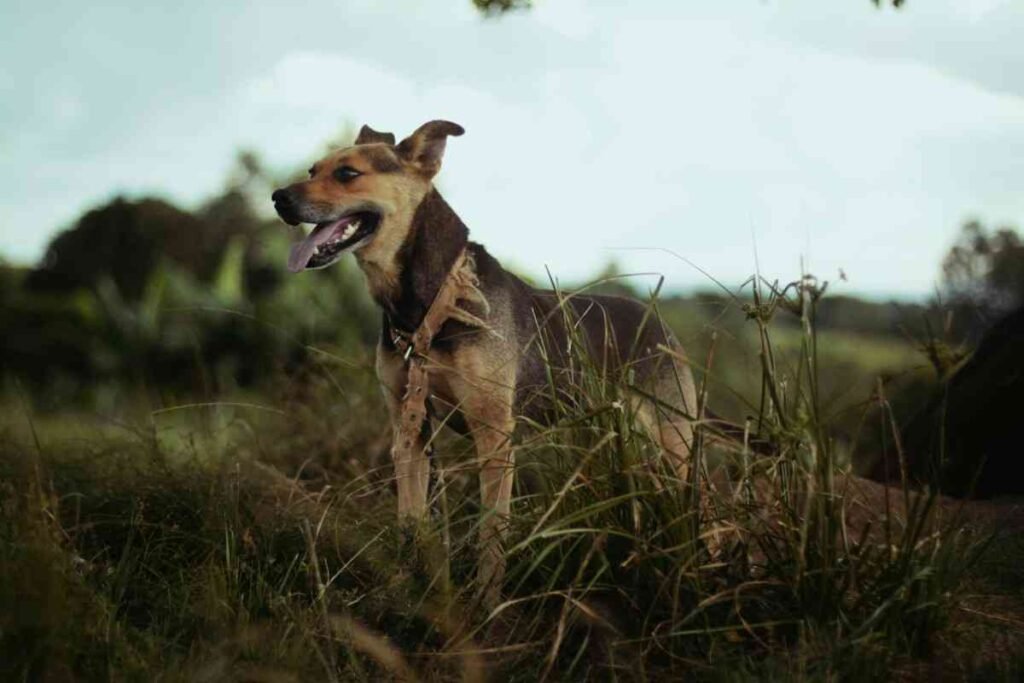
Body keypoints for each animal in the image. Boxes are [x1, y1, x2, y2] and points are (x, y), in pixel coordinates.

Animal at [272, 121, 700, 602]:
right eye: (313, 169)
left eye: (347, 173)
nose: (278, 198)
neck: (433, 302)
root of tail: (660, 325)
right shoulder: (409, 428)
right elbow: (410, 518)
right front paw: (408, 584)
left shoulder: (493, 433)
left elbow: (492, 531)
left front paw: (486, 602)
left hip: (672, 444)